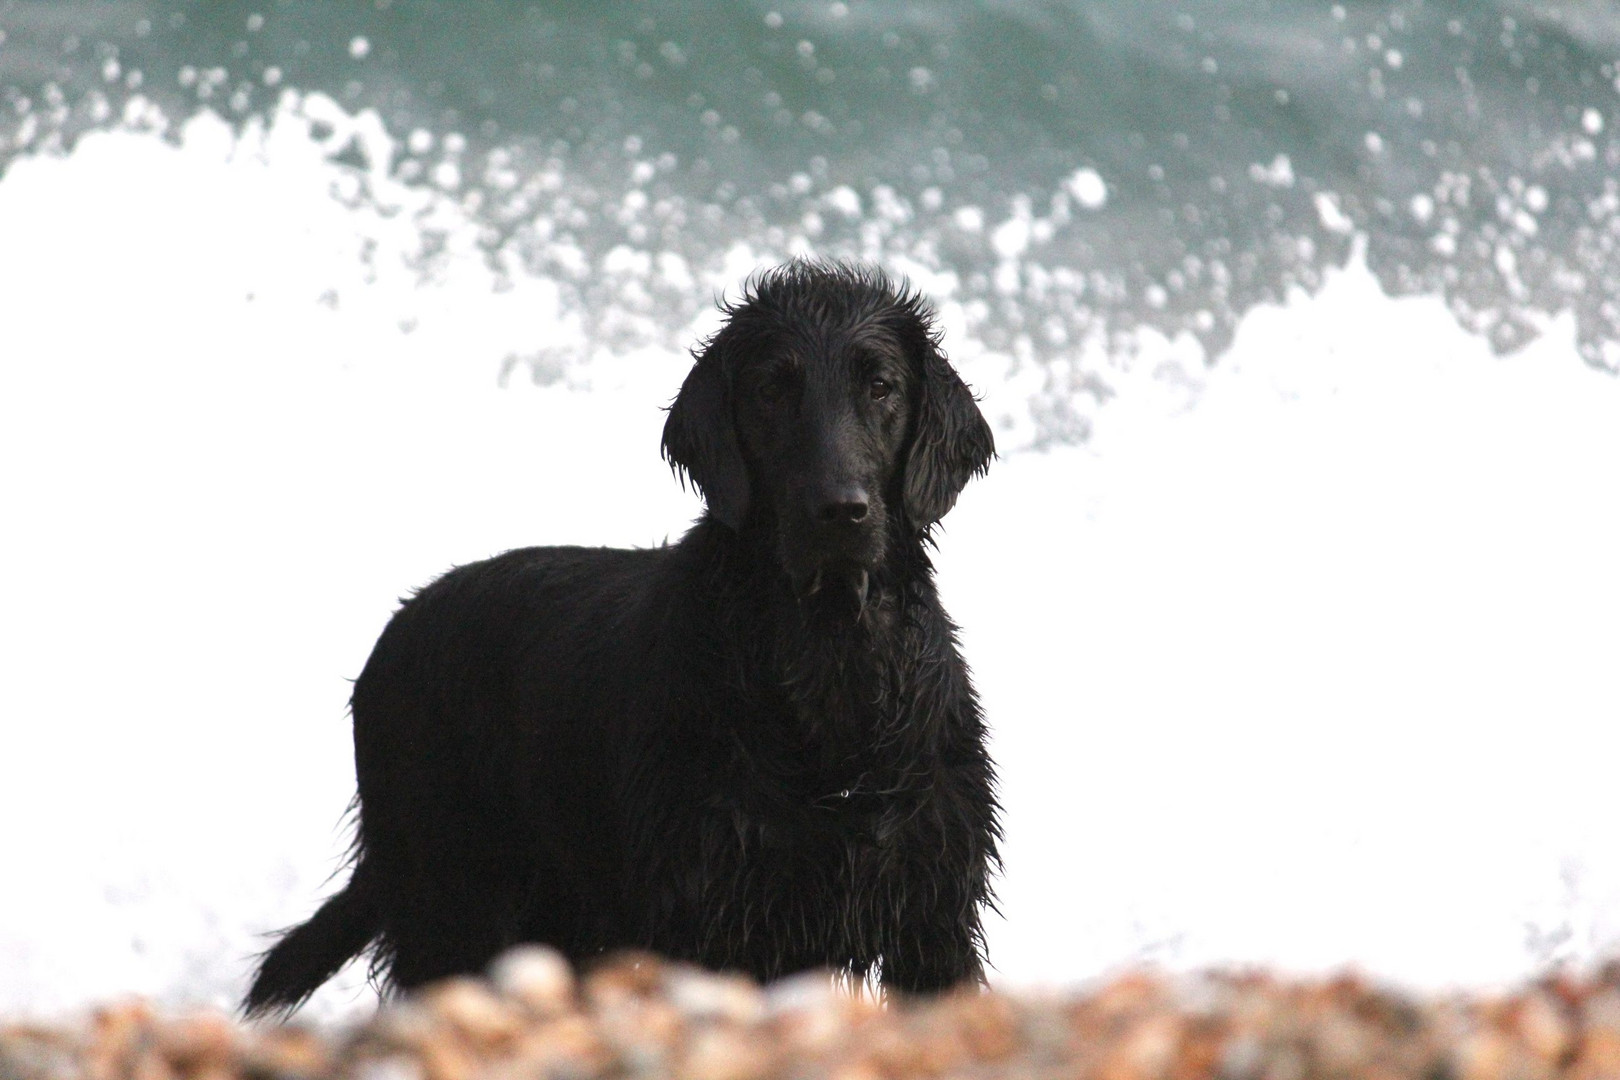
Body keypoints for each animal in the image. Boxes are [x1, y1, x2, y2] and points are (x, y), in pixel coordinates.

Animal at [246, 259, 997, 1016]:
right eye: (771, 390)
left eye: (880, 386)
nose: (839, 511)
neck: (829, 659)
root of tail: (392, 634)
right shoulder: (714, 914)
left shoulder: (932, 921)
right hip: (454, 901)